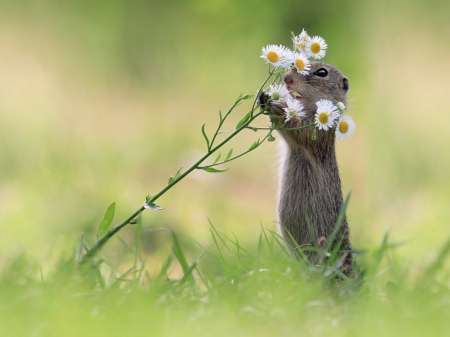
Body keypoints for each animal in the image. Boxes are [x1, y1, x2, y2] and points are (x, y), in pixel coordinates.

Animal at [260, 61, 352, 272]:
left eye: (322, 72)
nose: (287, 78)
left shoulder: (317, 131)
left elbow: (299, 131)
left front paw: (278, 108)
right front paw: (264, 98)